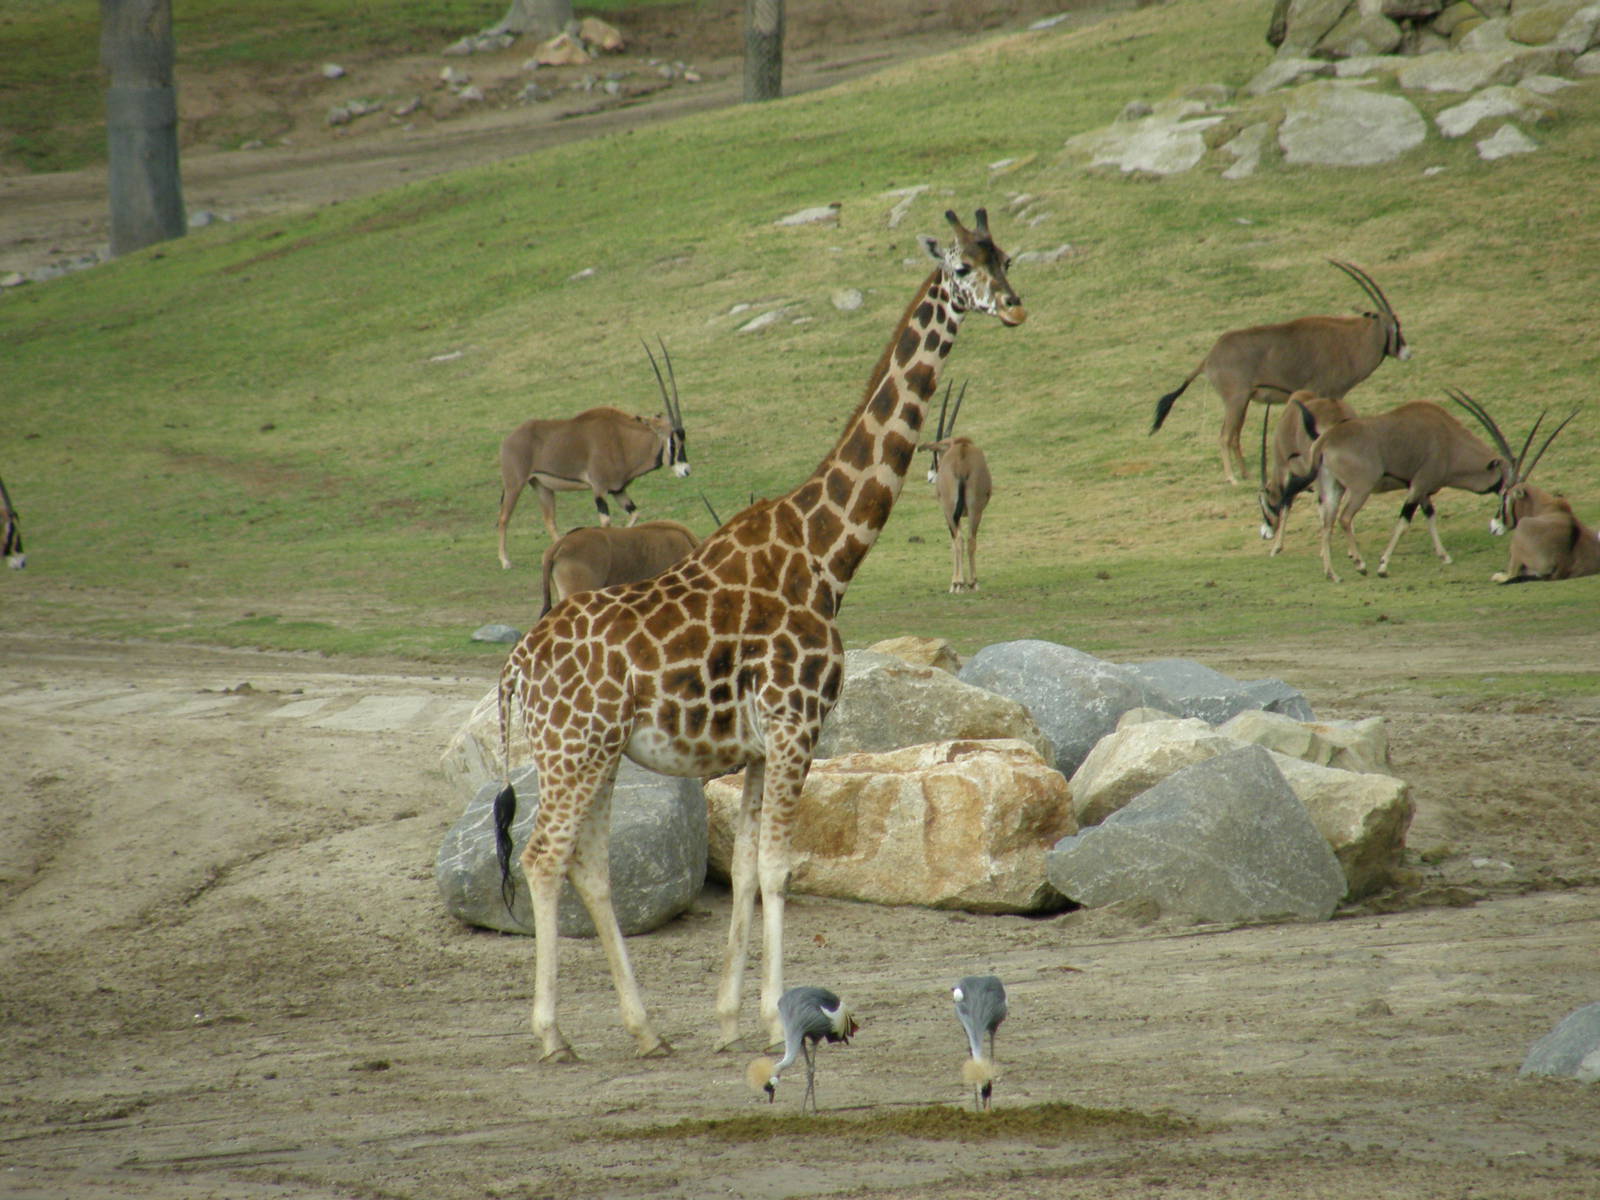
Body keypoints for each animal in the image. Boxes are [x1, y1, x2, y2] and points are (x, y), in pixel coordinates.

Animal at [493, 208, 1026, 1062]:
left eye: (1004, 257)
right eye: (962, 269)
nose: (1013, 307)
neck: (825, 554)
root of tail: (515, 666)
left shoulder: (752, 747)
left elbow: (744, 870)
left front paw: (725, 1019)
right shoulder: (794, 723)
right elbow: (777, 868)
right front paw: (785, 1020)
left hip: (594, 752)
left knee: (588, 867)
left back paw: (645, 1030)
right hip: (574, 749)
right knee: (544, 858)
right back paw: (552, 1037)